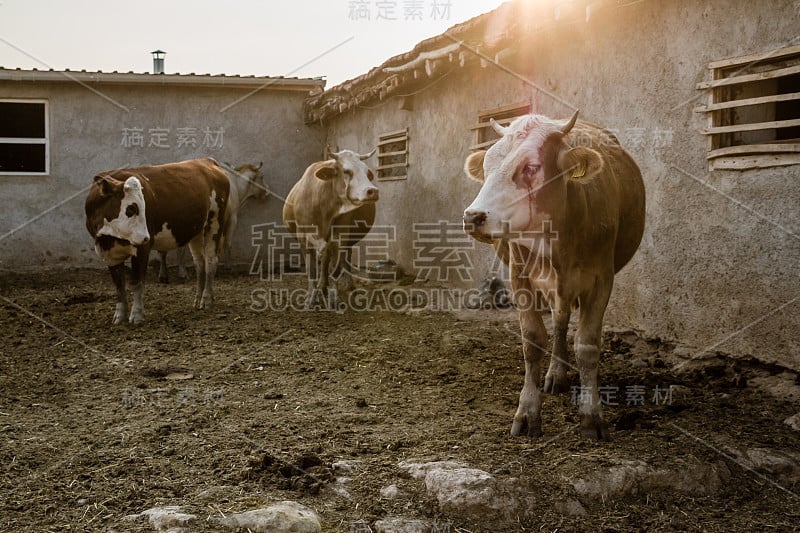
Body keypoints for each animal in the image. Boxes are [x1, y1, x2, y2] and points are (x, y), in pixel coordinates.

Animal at [88, 157, 231, 324]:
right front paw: (120, 315)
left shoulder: (142, 249)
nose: (146, 237)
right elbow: (119, 285)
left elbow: (136, 282)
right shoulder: (109, 254)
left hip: (214, 222)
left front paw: (137, 315)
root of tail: (207, 161)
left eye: (145, 207)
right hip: (196, 230)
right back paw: (197, 299)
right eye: (131, 208)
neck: (109, 237)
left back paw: (207, 299)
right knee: (199, 263)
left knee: (210, 261)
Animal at [282, 149, 380, 308]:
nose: (372, 191)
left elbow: (335, 270)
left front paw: (335, 299)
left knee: (344, 259)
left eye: (366, 171)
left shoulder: (339, 238)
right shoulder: (304, 240)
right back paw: (322, 286)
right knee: (324, 262)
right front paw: (310, 299)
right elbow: (312, 271)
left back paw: (348, 285)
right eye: (346, 171)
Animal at [462, 110, 644, 438]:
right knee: (559, 321)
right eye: (486, 166)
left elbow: (587, 345)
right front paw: (527, 411)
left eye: (531, 167)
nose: (473, 216)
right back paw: (556, 374)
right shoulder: (519, 277)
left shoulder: (602, 279)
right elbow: (533, 340)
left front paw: (592, 414)